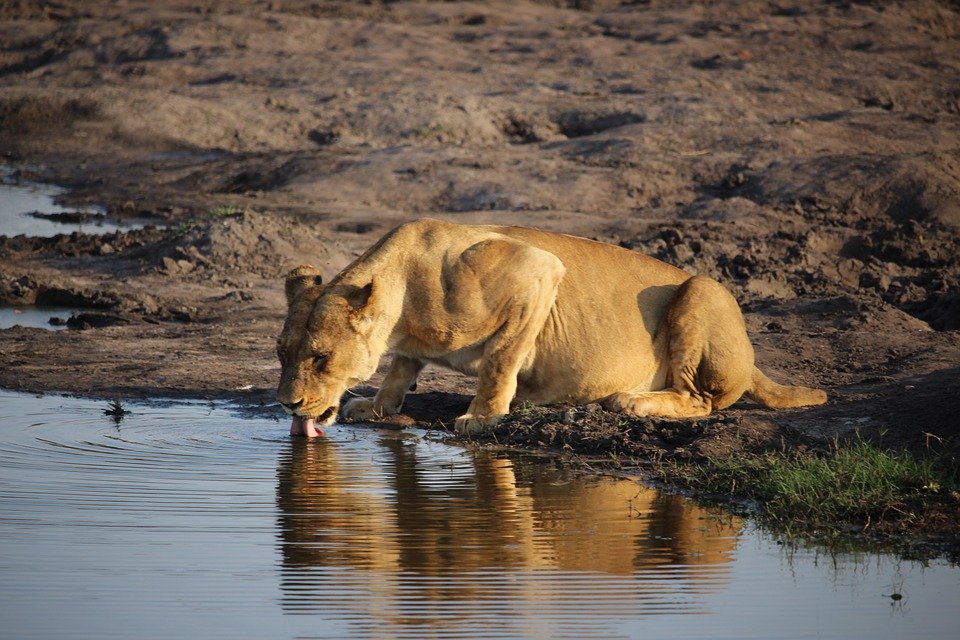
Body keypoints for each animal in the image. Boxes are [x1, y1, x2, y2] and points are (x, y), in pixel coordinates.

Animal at [277, 219, 826, 437]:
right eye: (282, 355)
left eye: (320, 358)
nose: (287, 404)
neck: (403, 305)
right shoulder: (408, 344)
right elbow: (399, 368)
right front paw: (377, 406)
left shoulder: (537, 271)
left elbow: (500, 361)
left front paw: (484, 416)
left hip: (702, 289)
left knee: (700, 400)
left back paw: (631, 401)